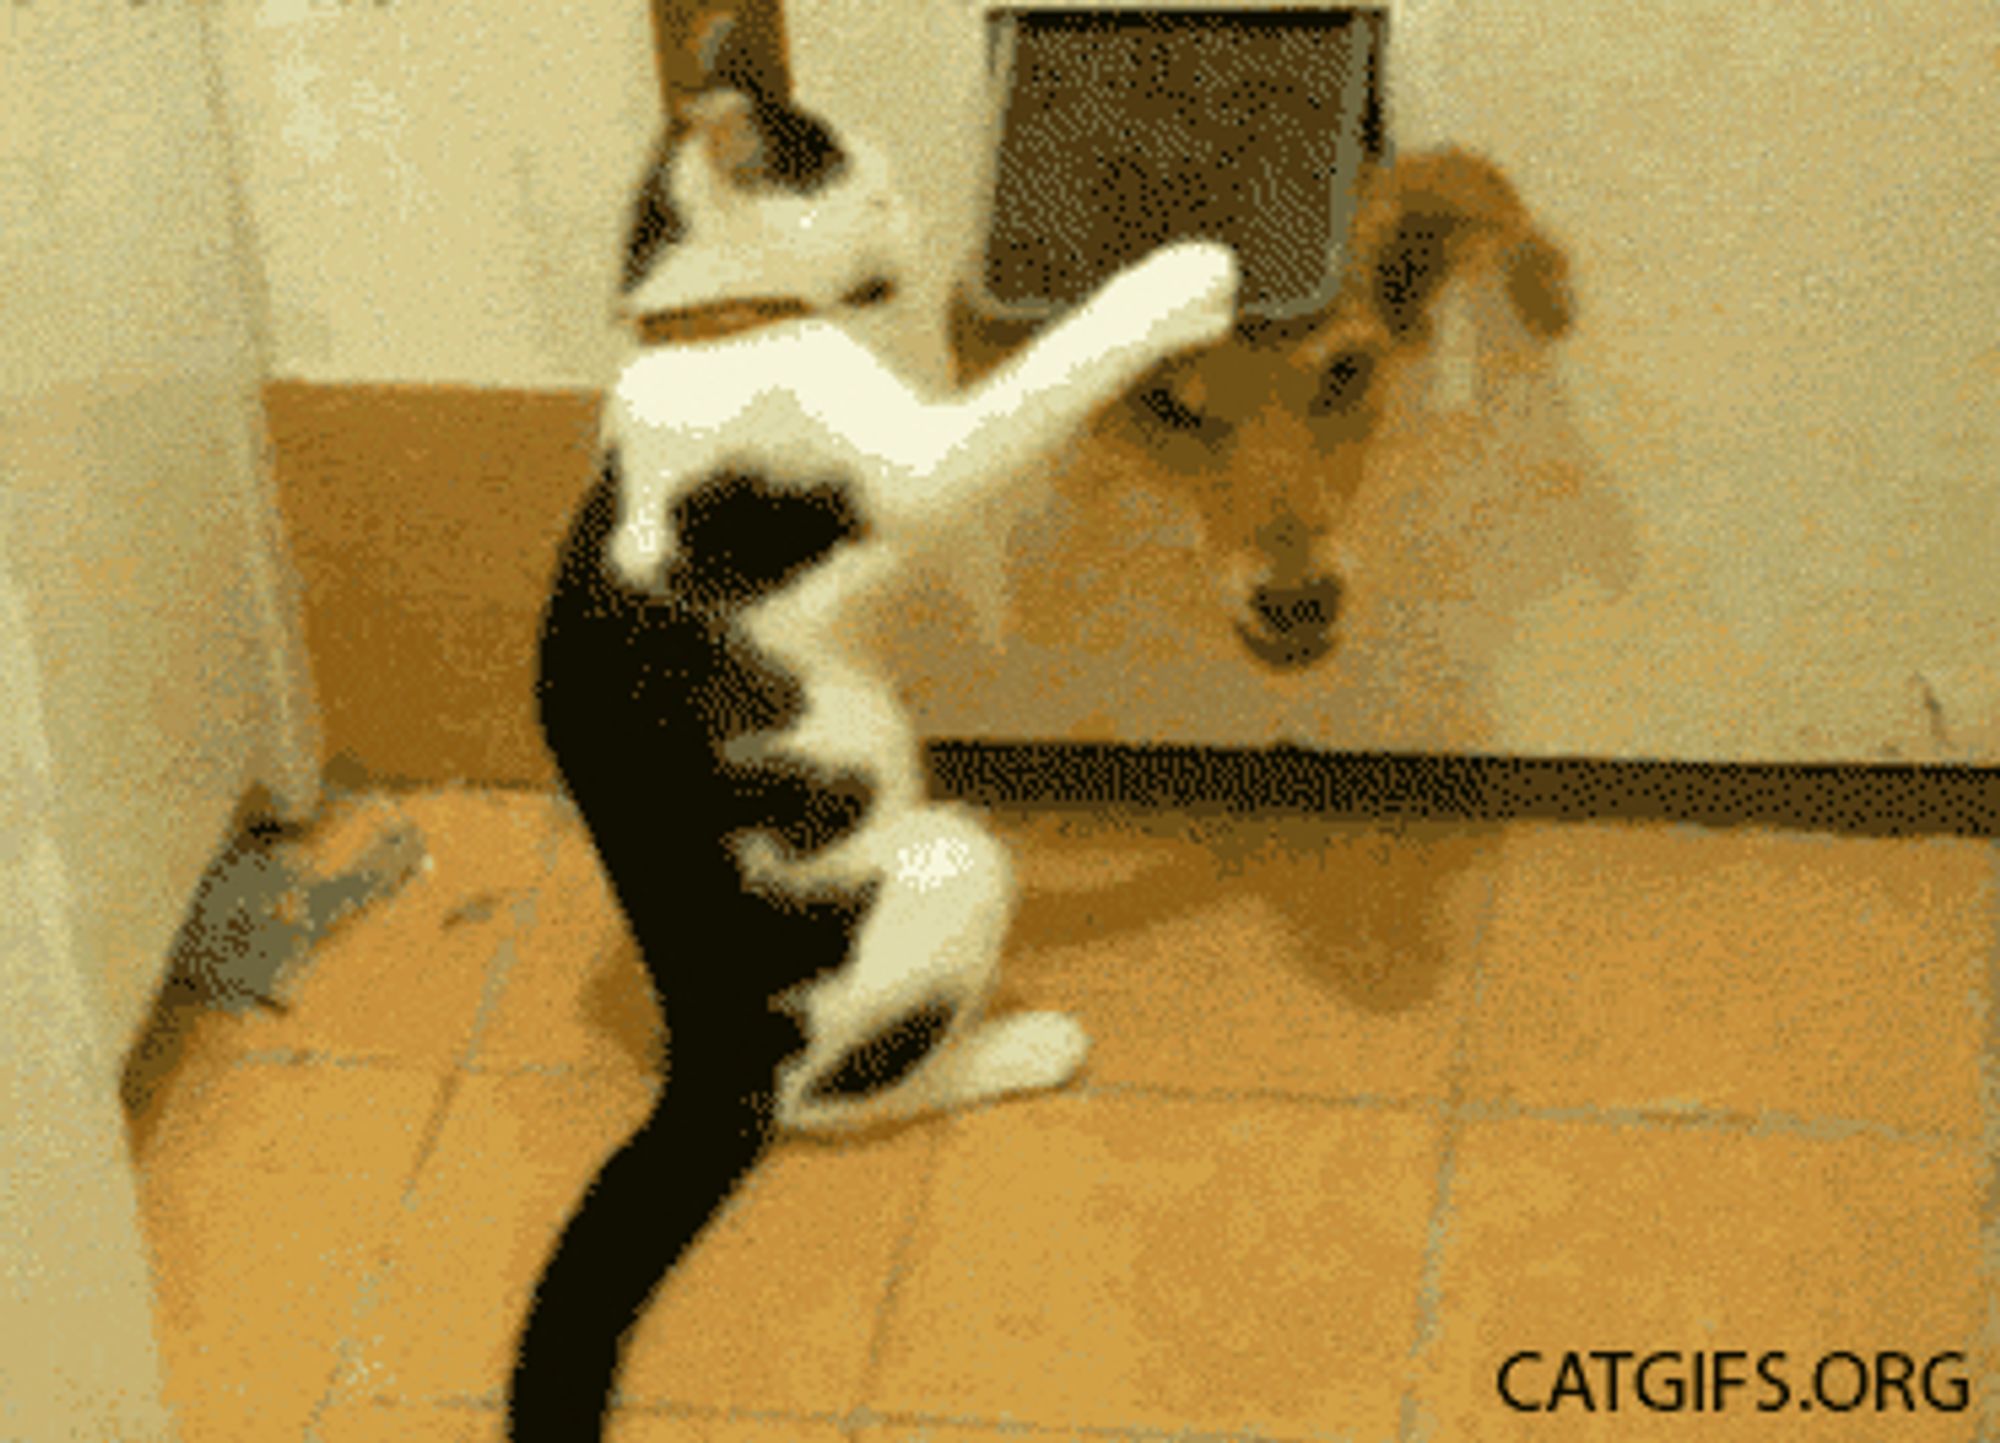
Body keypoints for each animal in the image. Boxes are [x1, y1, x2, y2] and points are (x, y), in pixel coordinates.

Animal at [508, 25, 1240, 1439]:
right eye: (875, 189)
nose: (922, 223)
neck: (708, 334)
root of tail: (708, 1052)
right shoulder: (909, 463)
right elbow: (1027, 392)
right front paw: (1174, 282)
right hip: (949, 863)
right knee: (841, 1103)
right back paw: (1016, 1048)